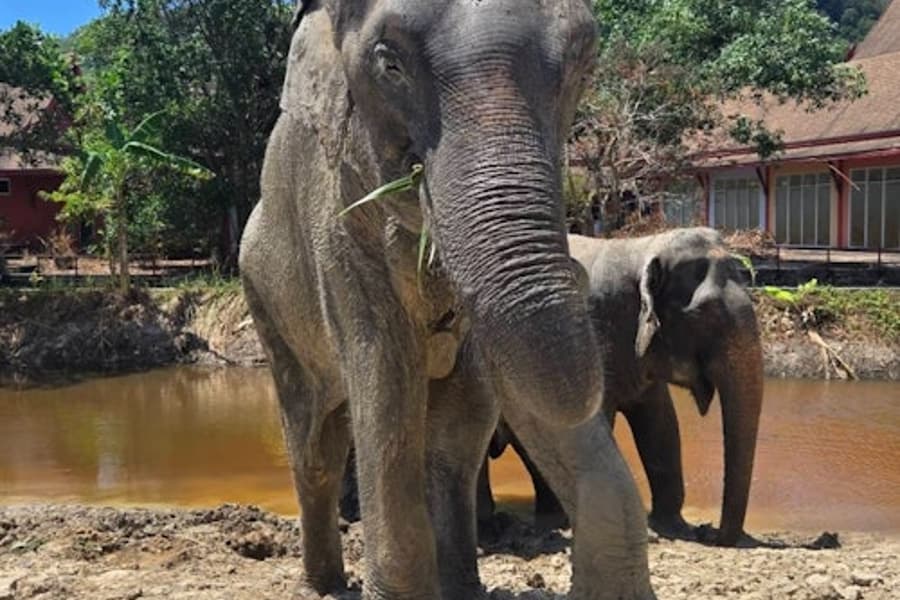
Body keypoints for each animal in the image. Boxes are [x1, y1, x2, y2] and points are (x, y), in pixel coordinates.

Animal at [239, 2, 655, 599]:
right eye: (389, 65)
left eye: (584, 62)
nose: (576, 268)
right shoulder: (337, 229)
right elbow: (387, 380)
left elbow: (478, 400)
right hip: (265, 299)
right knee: (315, 445)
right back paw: (324, 585)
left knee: (451, 444)